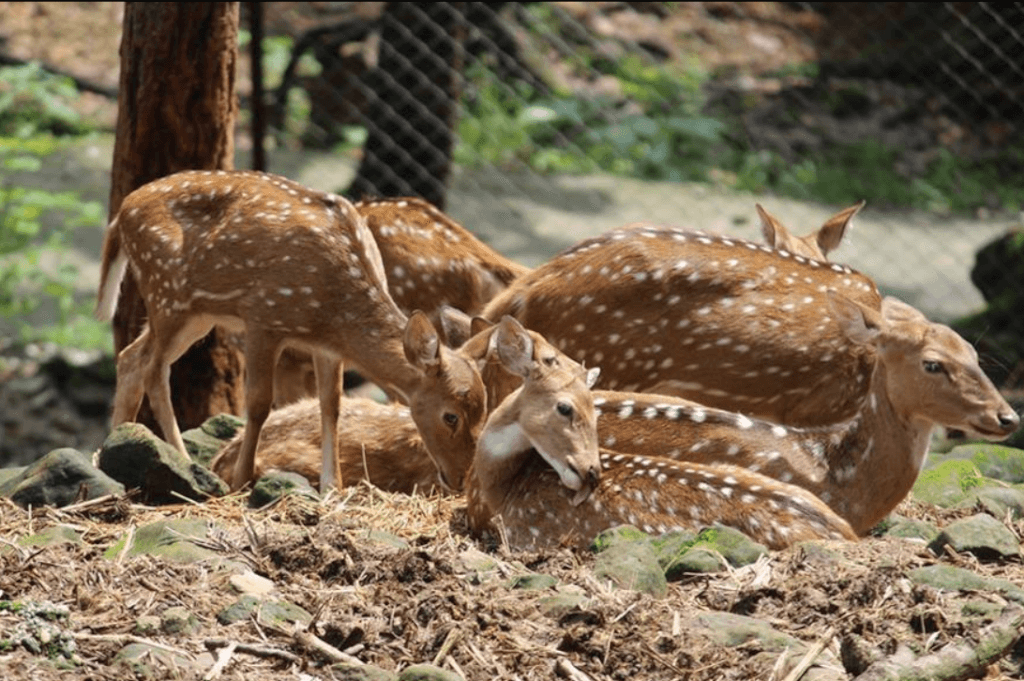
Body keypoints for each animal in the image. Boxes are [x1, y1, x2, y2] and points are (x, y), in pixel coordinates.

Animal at [96, 167, 487, 491]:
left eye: (483, 412)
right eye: (451, 416)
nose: (460, 479)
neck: (334, 311)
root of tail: (121, 213)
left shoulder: (326, 346)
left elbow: (331, 405)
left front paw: (332, 487)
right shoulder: (263, 318)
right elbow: (258, 404)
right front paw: (242, 479)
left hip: (196, 313)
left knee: (131, 357)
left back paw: (113, 448)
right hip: (167, 294)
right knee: (153, 369)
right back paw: (184, 459)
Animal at [464, 315, 856, 548]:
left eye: (595, 410)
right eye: (565, 407)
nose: (592, 472)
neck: (500, 490)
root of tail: (848, 534)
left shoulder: (527, 536)